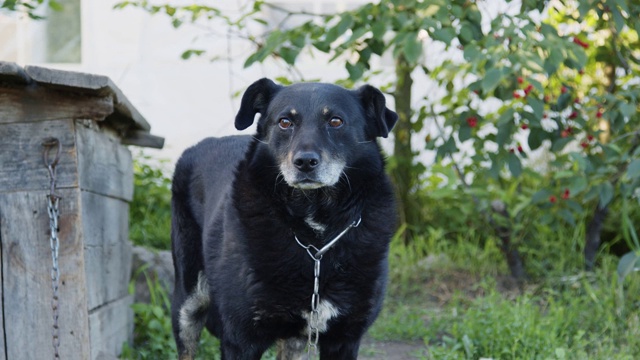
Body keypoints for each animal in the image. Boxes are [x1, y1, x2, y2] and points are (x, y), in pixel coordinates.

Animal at [172, 79, 398, 360]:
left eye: (336, 121)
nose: (305, 162)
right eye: (284, 122)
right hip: (188, 302)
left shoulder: (344, 338)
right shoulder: (240, 339)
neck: (316, 239)